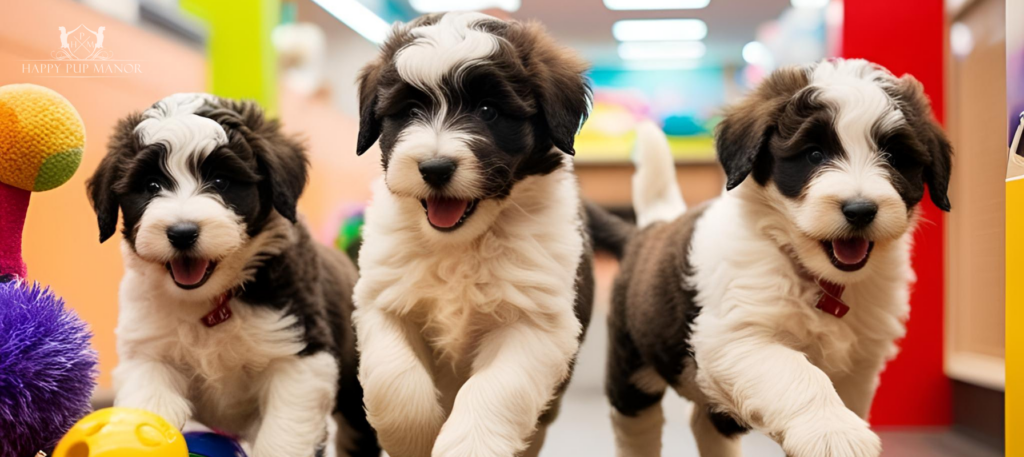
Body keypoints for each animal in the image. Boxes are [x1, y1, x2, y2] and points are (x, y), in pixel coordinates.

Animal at [86, 93, 382, 457]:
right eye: (151, 185)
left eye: (221, 182)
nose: (182, 233)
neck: (210, 299)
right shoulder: (147, 354)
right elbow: (148, 410)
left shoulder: (300, 357)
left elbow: (283, 437)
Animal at [352, 9, 598, 457]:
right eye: (409, 111)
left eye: (487, 110)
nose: (434, 168)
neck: (461, 243)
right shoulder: (382, 301)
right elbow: (394, 383)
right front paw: (414, 437)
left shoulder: (535, 322)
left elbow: (495, 391)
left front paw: (467, 444)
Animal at [589, 57, 954, 457]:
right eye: (814, 154)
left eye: (893, 157)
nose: (860, 210)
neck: (817, 277)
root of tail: (653, 224)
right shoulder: (736, 336)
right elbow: (798, 372)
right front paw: (834, 431)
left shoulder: (859, 365)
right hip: (632, 366)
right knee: (636, 424)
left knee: (707, 422)